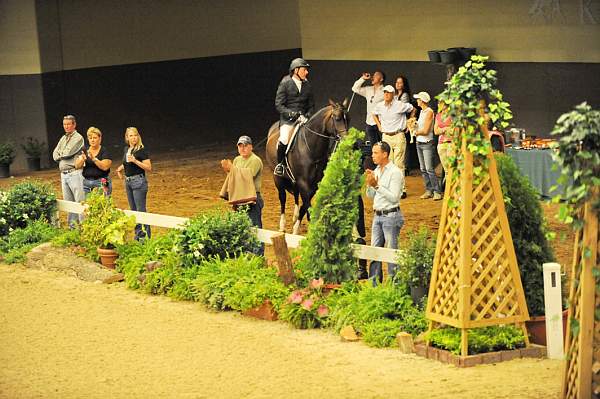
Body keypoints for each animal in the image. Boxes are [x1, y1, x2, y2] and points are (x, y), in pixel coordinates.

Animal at [266, 100, 350, 236]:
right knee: (282, 198)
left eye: (349, 118)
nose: (347, 140)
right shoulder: (304, 183)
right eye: (337, 119)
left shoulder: (314, 184)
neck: (311, 148)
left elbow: (305, 206)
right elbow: (308, 207)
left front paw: (296, 227)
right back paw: (282, 225)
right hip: (277, 178)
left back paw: (294, 217)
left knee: (295, 194)